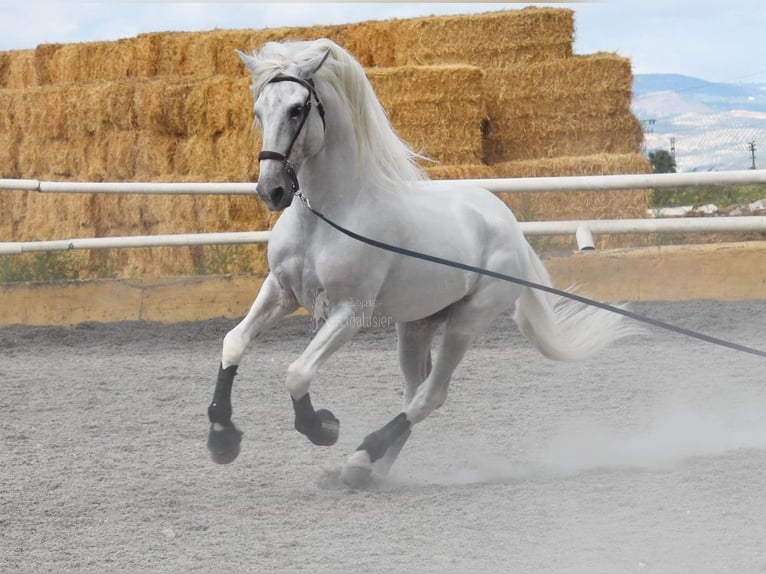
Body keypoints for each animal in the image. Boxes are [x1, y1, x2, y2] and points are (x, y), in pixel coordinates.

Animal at [207, 37, 640, 486]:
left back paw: (362, 457)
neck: (329, 215)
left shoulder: (351, 312)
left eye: (297, 109)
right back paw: (370, 468)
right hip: (416, 325)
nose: (271, 191)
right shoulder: (280, 292)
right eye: (259, 110)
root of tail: (510, 227)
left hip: (466, 322)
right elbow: (233, 342)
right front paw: (222, 439)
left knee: (429, 396)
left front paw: (322, 427)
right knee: (413, 392)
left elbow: (298, 372)